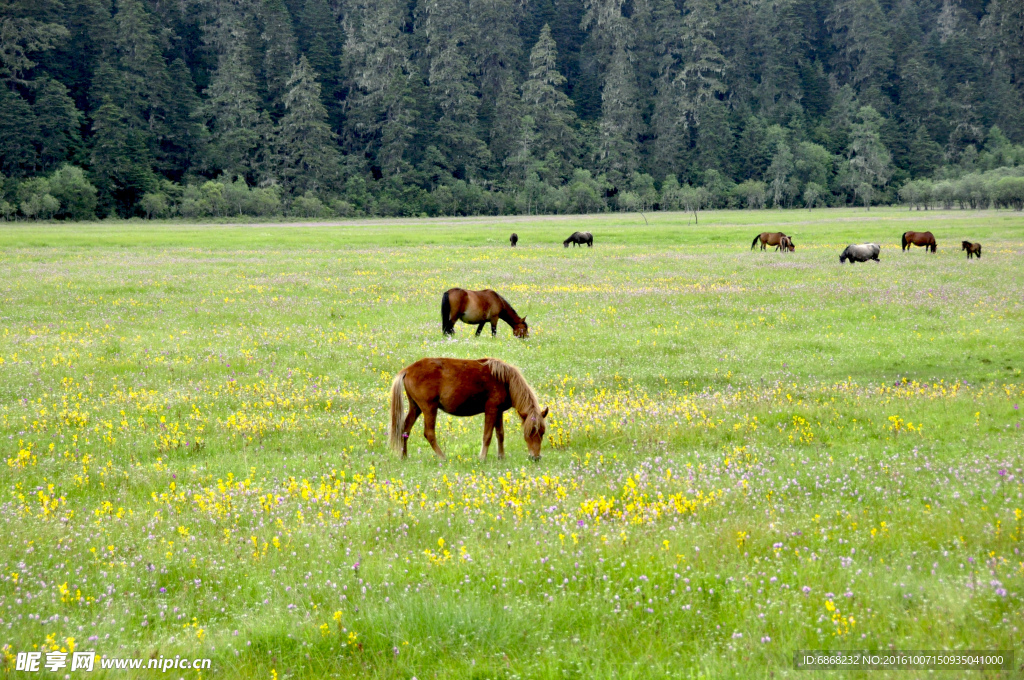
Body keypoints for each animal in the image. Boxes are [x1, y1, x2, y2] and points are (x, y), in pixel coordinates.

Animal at [387, 356, 548, 462]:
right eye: (529, 433)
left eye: (542, 433)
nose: (535, 457)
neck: (505, 380)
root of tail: (408, 370)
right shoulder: (491, 409)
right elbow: (487, 435)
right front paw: (482, 457)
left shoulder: (499, 412)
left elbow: (500, 435)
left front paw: (501, 456)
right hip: (429, 408)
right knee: (429, 433)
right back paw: (442, 457)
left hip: (416, 408)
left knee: (405, 429)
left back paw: (404, 456)